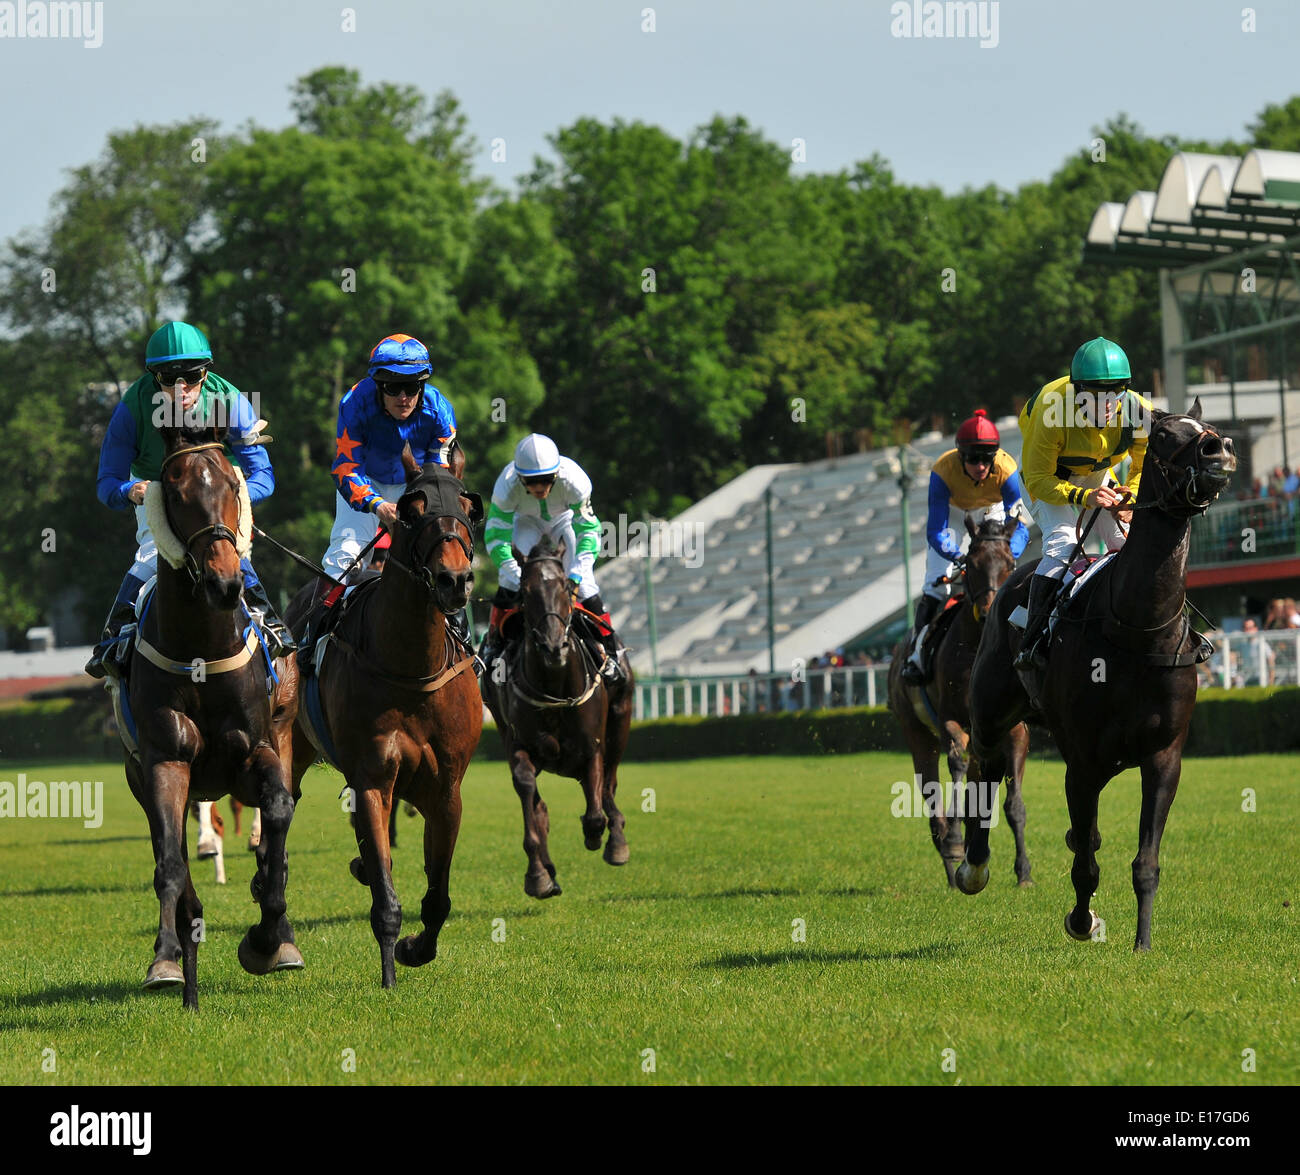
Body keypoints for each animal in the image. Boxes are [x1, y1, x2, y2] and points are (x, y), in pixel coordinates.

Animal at [120, 421, 300, 1008]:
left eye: (230, 484)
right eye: (176, 494)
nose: (226, 583)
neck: (200, 651)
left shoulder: (256, 751)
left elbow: (278, 815)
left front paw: (268, 938)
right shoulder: (165, 760)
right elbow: (169, 863)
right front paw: (167, 959)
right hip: (141, 776)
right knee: (170, 846)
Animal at [287, 454, 486, 987]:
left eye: (467, 507)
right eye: (413, 511)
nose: (454, 580)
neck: (411, 666)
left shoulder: (447, 790)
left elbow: (437, 897)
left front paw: (416, 949)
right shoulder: (372, 780)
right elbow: (385, 897)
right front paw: (390, 973)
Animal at [483, 532, 634, 899]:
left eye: (566, 587)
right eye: (525, 592)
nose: (554, 646)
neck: (554, 684)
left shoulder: (592, 747)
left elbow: (596, 807)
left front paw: (598, 835)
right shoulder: (518, 743)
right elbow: (528, 794)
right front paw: (538, 874)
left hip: (620, 722)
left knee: (609, 784)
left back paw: (616, 841)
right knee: (542, 805)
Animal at [889, 509, 1029, 883]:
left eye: (1009, 563)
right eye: (973, 563)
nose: (991, 609)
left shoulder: (1014, 731)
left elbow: (1012, 804)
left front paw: (1023, 870)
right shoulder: (950, 720)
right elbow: (956, 766)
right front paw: (954, 843)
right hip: (915, 730)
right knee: (932, 794)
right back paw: (952, 861)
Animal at [961, 400, 1232, 951]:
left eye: (1209, 428)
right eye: (1166, 434)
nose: (1218, 451)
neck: (1136, 630)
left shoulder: (1164, 757)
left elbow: (1144, 862)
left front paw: (1143, 943)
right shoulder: (1082, 763)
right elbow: (1085, 865)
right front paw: (1082, 920)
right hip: (992, 712)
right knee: (984, 766)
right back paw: (973, 865)